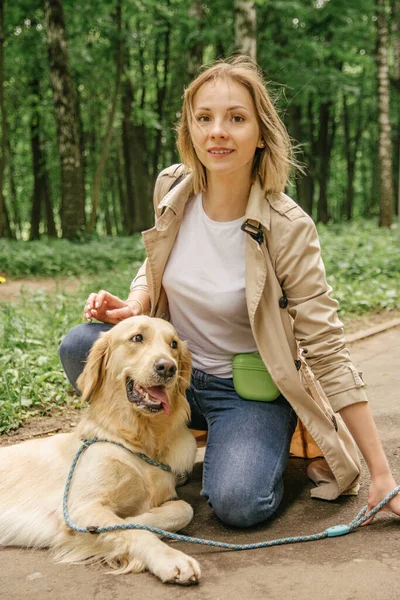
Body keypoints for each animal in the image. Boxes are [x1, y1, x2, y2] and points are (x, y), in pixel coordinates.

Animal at [0, 316, 202, 584]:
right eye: (138, 338)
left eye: (174, 344)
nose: (168, 367)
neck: (138, 442)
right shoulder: (80, 508)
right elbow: (131, 529)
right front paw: (171, 558)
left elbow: (183, 508)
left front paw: (141, 519)